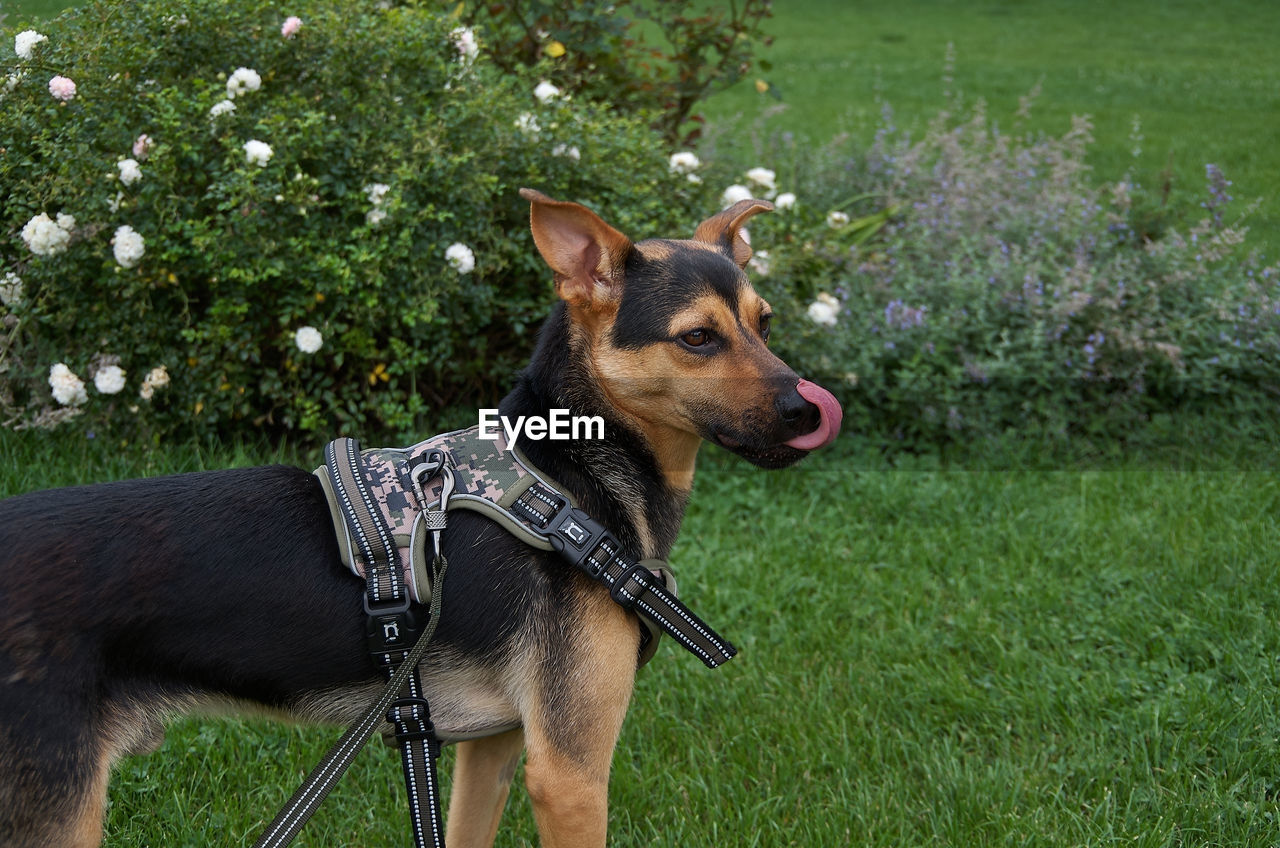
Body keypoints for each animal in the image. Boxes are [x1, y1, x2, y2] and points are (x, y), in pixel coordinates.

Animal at [0, 189, 844, 845]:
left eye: (765, 323)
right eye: (697, 337)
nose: (810, 411)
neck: (565, 476)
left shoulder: (493, 748)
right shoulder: (570, 771)